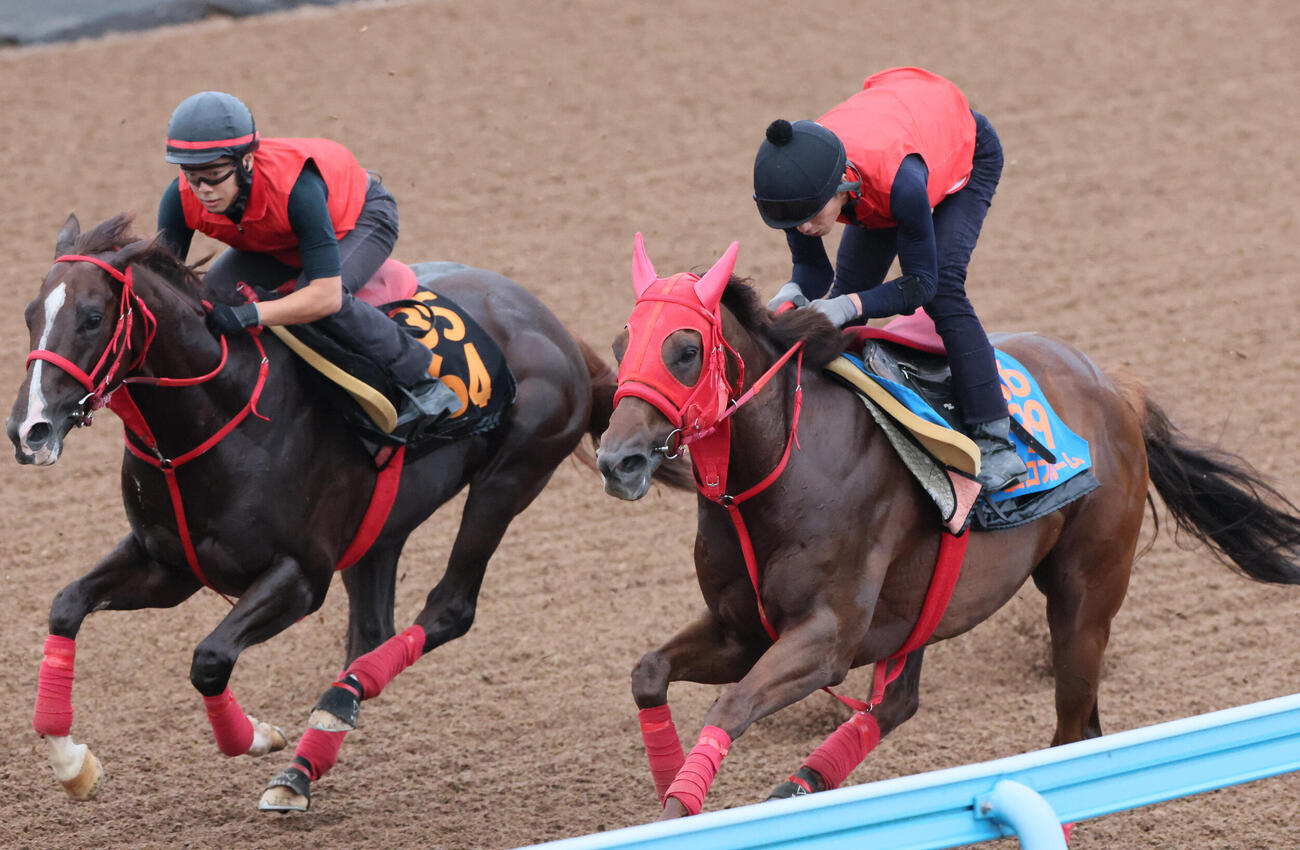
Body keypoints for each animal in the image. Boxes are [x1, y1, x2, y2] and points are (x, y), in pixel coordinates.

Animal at [5, 212, 687, 813]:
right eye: (31, 314)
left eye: (92, 318)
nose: (30, 429)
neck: (219, 417)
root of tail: (558, 329)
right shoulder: (167, 564)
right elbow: (66, 604)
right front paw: (72, 764)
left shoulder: (301, 576)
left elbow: (210, 659)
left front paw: (254, 735)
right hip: (382, 528)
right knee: (371, 634)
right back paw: (313, 751)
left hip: (509, 478)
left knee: (449, 609)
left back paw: (322, 726)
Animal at [595, 236, 1300, 819]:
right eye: (620, 346)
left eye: (686, 349)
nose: (616, 460)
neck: (783, 469)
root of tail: (1111, 383)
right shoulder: (741, 629)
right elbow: (648, 672)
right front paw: (671, 794)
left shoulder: (826, 638)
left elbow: (732, 705)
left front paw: (680, 810)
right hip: (922, 608)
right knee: (907, 702)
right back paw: (800, 786)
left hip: (1085, 595)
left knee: (1070, 727)